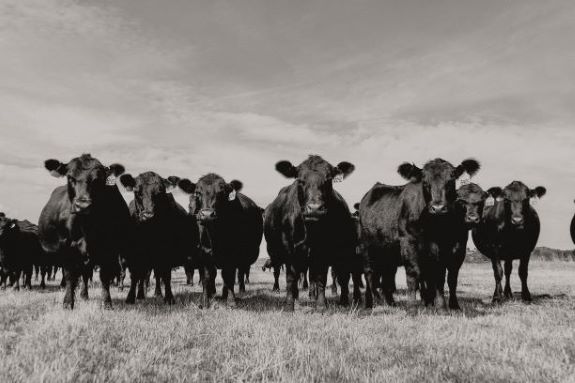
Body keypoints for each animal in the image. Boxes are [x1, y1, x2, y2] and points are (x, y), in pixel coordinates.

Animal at [38, 154, 131, 308]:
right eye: (70, 177)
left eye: (97, 179)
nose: (83, 205)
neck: (87, 226)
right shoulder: (67, 245)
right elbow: (70, 275)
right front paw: (68, 302)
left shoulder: (110, 249)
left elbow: (105, 276)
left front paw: (107, 303)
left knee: (86, 273)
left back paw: (84, 294)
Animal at [120, 172, 199, 304]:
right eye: (137, 192)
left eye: (160, 192)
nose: (148, 215)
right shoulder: (134, 253)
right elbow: (135, 275)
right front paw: (130, 297)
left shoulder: (166, 252)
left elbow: (166, 276)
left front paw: (169, 298)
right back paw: (141, 294)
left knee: (157, 275)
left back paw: (157, 293)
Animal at [179, 174, 264, 308]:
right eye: (197, 192)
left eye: (222, 193)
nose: (207, 214)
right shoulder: (204, 254)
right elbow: (207, 276)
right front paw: (205, 301)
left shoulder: (232, 254)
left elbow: (229, 276)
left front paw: (231, 301)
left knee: (238, 274)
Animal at [264, 154, 356, 310]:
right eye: (300, 180)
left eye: (328, 179)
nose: (314, 208)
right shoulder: (289, 250)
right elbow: (291, 278)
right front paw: (289, 306)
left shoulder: (324, 251)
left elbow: (321, 278)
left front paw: (321, 305)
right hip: (275, 253)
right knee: (279, 272)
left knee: (342, 277)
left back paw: (341, 300)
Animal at [360, 159, 482, 312]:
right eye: (425, 182)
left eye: (451, 180)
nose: (438, 208)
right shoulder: (408, 242)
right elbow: (413, 274)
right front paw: (412, 308)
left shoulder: (444, 249)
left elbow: (440, 276)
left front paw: (441, 307)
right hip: (367, 248)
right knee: (369, 274)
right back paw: (372, 303)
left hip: (389, 253)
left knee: (387, 278)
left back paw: (390, 303)